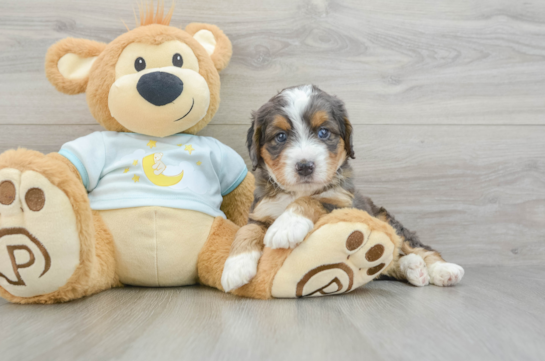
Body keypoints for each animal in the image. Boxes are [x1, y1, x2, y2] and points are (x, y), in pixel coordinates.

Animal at [221, 85, 464, 292]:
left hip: (385, 218)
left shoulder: (344, 205)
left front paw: (287, 226)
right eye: (280, 136)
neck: (299, 190)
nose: (305, 166)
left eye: (323, 132)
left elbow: (313, 200)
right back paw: (413, 268)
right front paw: (235, 267)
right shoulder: (261, 211)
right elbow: (246, 230)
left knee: (418, 246)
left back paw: (443, 270)